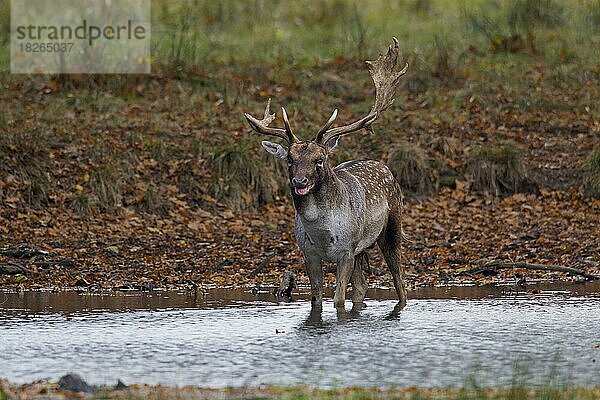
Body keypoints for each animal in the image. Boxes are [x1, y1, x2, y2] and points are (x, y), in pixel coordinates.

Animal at [244, 36, 408, 310]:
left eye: (319, 160)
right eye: (289, 159)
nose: (299, 181)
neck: (321, 233)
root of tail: (385, 167)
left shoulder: (347, 249)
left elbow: (338, 299)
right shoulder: (309, 252)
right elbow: (316, 300)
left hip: (392, 227)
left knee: (399, 281)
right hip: (361, 250)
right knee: (362, 286)